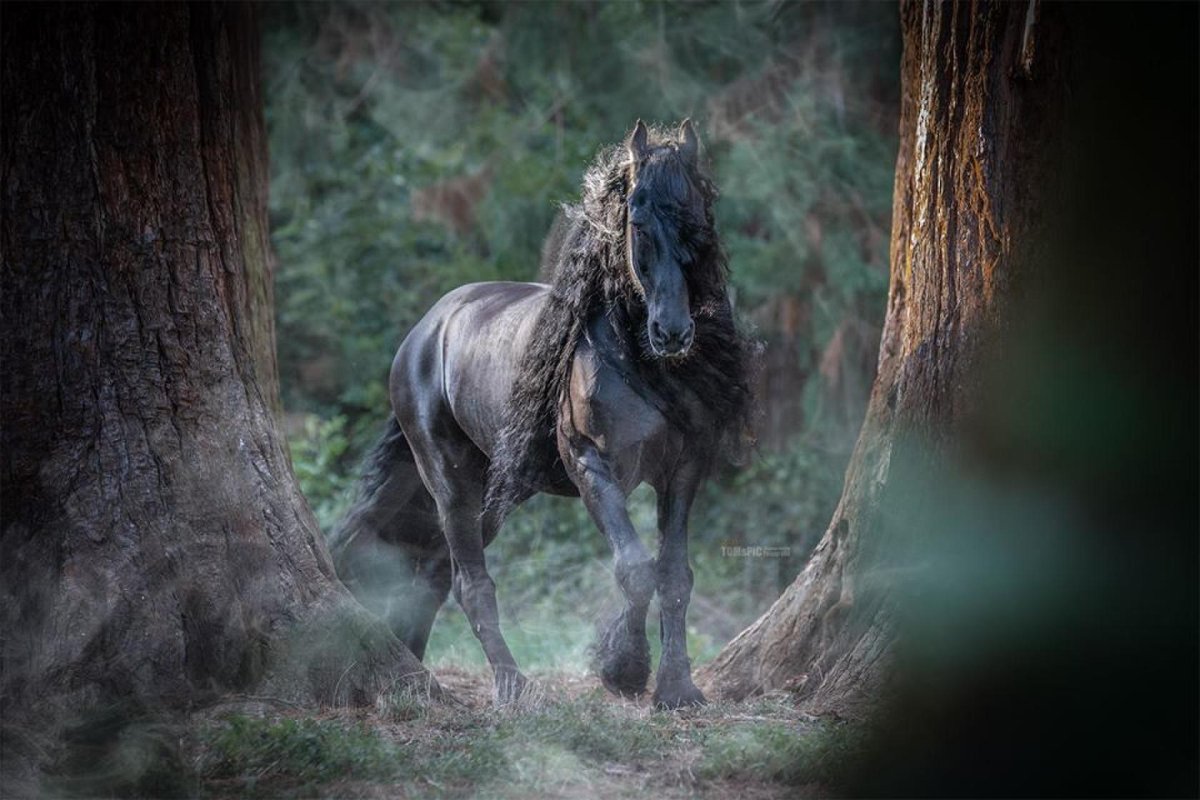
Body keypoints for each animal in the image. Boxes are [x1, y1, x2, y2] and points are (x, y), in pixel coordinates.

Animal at [328, 120, 755, 708]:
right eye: (638, 221)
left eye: (699, 221)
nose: (672, 332)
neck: (637, 362)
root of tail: (427, 330)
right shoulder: (593, 465)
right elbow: (635, 570)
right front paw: (623, 669)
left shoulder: (682, 473)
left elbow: (673, 575)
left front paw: (677, 687)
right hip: (451, 481)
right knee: (469, 582)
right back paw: (512, 687)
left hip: (498, 489)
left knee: (435, 573)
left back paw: (418, 665)